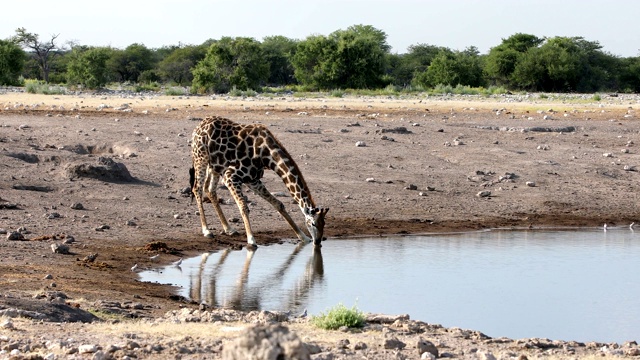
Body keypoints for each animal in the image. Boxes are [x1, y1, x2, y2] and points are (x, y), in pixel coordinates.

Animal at [190, 116, 330, 246]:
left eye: (324, 223)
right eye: (313, 223)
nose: (318, 242)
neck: (267, 154)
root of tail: (199, 126)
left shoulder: (253, 179)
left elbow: (278, 204)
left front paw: (303, 237)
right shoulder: (230, 176)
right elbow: (243, 206)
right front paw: (251, 240)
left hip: (215, 166)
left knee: (209, 189)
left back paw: (229, 229)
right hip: (201, 158)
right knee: (197, 188)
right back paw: (207, 230)